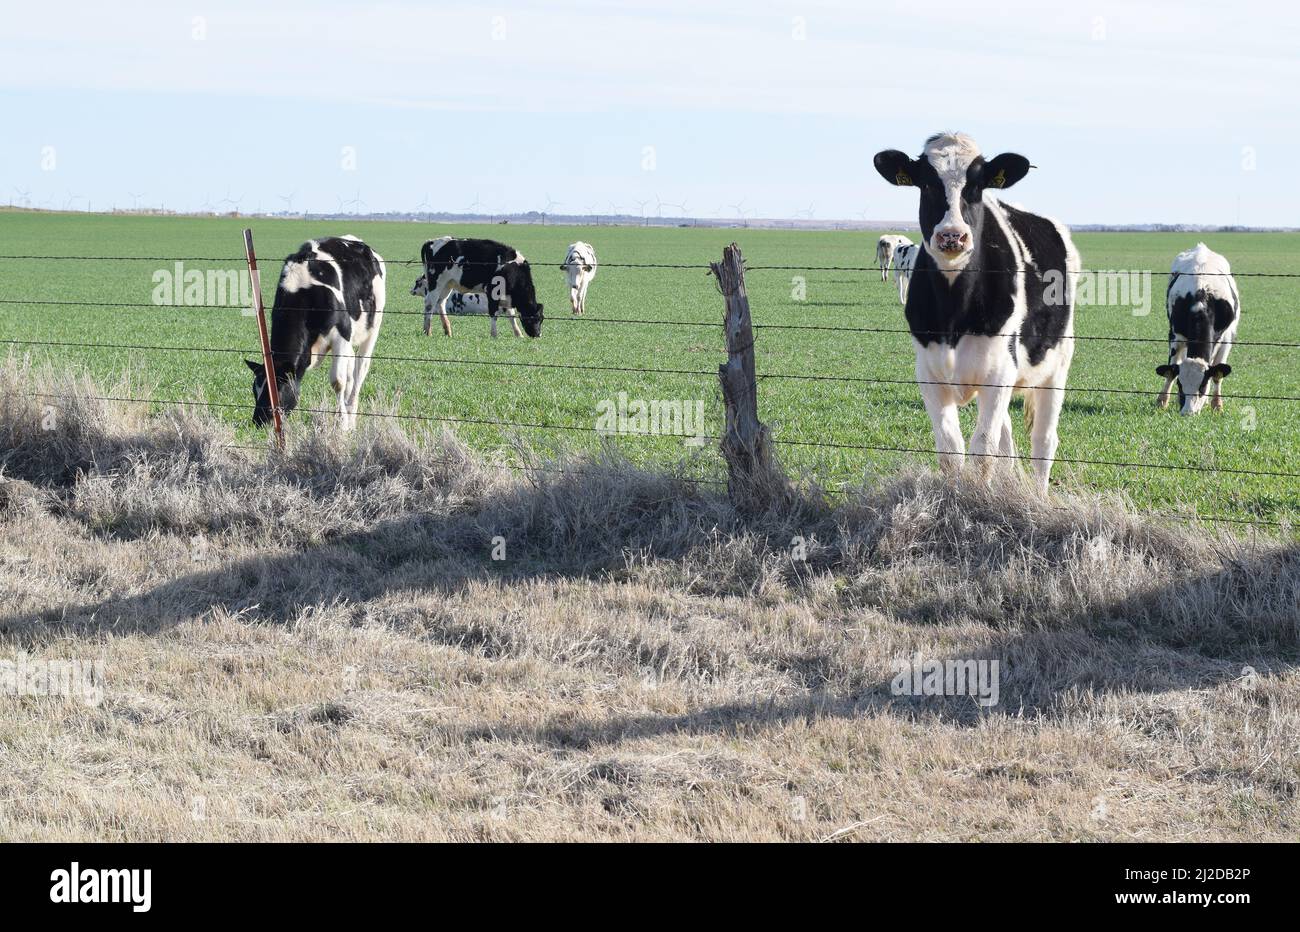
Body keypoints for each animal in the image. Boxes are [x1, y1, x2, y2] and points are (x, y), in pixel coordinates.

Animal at [246, 235, 385, 431]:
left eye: (277, 390)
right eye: (254, 390)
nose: (258, 422)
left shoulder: (342, 334)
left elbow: (338, 381)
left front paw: (343, 425)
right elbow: (344, 379)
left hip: (373, 327)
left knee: (360, 370)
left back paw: (351, 417)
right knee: (351, 373)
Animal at [873, 132, 1080, 492]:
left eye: (978, 185)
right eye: (926, 183)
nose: (952, 235)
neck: (954, 309)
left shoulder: (998, 373)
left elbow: (982, 452)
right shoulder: (929, 373)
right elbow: (952, 451)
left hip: (1056, 365)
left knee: (1043, 442)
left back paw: (1039, 495)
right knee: (1008, 444)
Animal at [1157, 243, 1240, 415]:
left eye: (1202, 385)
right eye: (1180, 385)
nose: (1188, 412)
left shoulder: (1227, 338)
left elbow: (1217, 374)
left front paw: (1217, 405)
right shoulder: (1175, 334)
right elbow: (1170, 371)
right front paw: (1162, 401)